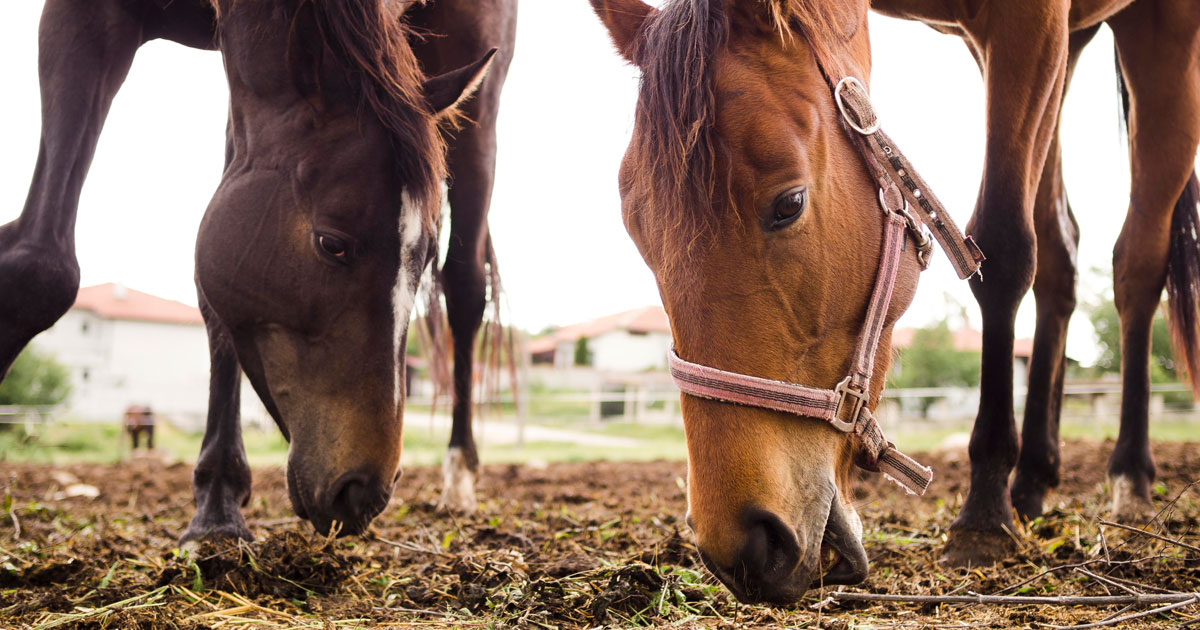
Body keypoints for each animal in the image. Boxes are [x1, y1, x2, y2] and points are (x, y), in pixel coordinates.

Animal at [0, 0, 511, 540]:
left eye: (424, 255)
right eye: (332, 244)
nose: (364, 493)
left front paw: (219, 502)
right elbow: (42, 268)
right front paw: (217, 503)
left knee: (465, 288)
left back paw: (459, 476)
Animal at [590, 0, 1200, 604]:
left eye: (789, 204)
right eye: (637, 233)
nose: (743, 547)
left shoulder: (1031, 23)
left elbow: (1002, 251)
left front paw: (983, 514)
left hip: (1159, 34)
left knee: (1136, 267)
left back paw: (1130, 475)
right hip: (1070, 48)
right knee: (1060, 259)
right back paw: (1031, 482)